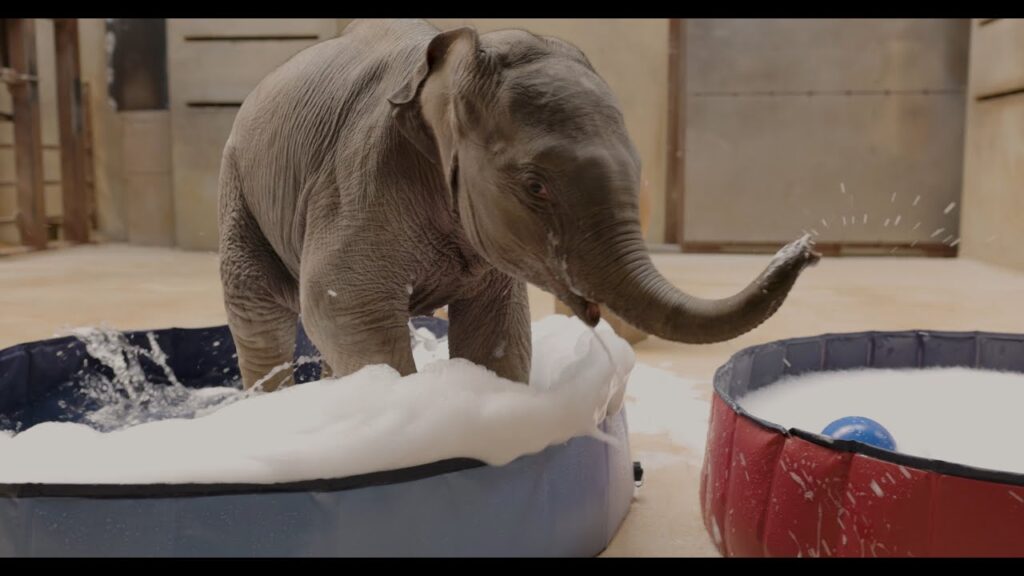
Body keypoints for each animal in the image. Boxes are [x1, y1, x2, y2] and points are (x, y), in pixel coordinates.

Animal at [218, 19, 820, 391]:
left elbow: (497, 329)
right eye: (536, 186)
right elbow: (342, 308)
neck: (454, 59)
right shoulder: (360, 177)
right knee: (261, 314)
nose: (808, 247)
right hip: (238, 187)